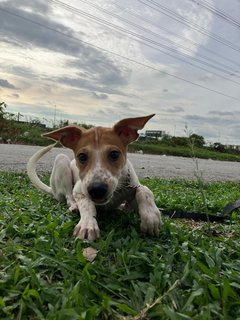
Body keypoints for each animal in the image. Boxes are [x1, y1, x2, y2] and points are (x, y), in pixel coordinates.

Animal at [27, 114, 163, 239]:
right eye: (82, 157)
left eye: (114, 154)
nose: (97, 190)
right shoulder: (79, 190)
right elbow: (87, 205)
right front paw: (88, 224)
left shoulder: (132, 189)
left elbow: (144, 190)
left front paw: (151, 216)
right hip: (61, 160)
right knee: (68, 196)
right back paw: (74, 206)